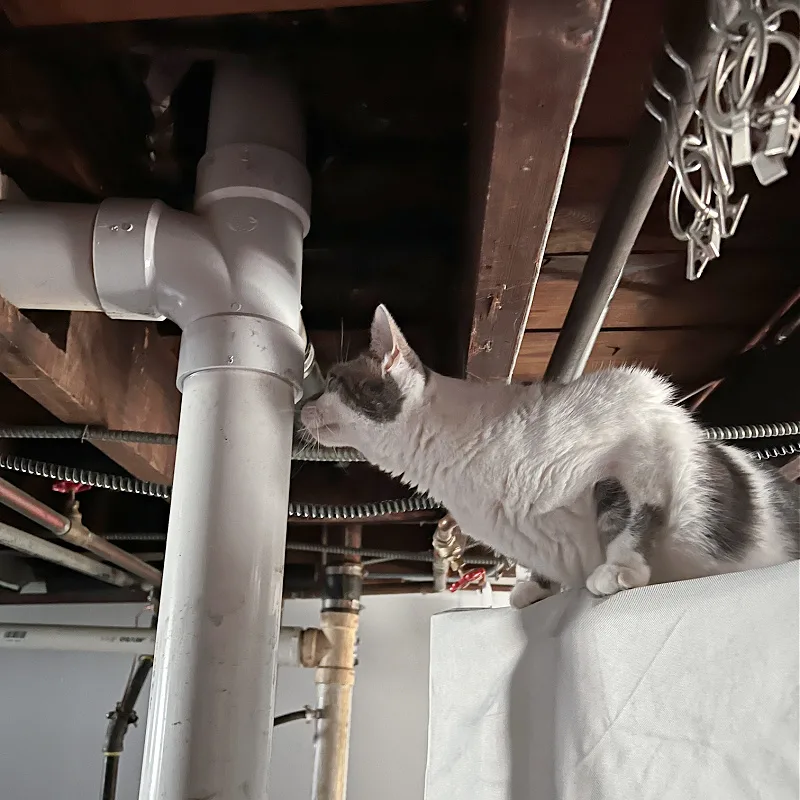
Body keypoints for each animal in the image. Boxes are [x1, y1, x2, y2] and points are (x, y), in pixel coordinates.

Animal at [300, 304, 800, 608]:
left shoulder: (641, 426)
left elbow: (629, 514)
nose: (303, 403)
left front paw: (620, 569)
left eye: (333, 381)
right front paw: (535, 589)